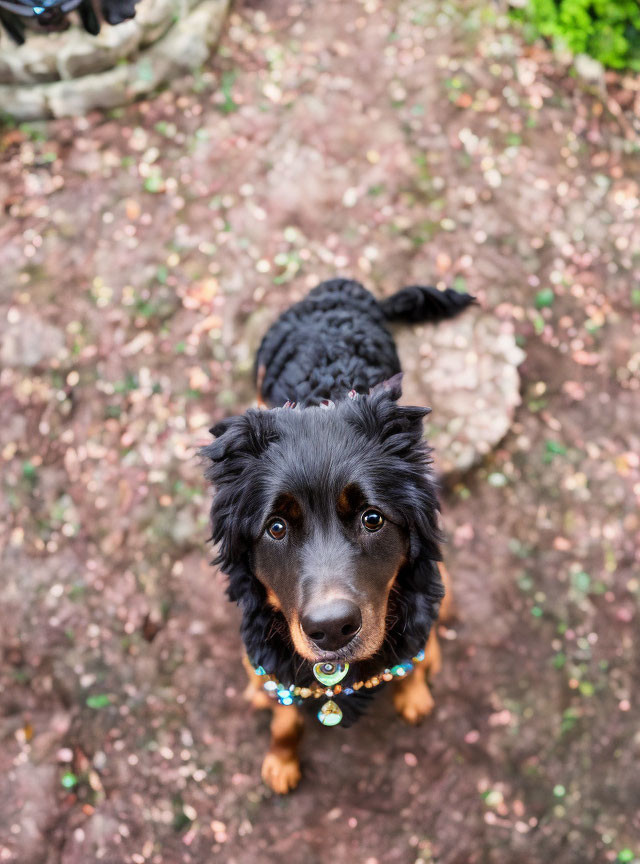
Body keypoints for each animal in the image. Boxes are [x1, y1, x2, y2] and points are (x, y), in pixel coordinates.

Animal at [202, 280, 472, 792]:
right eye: (276, 528)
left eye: (372, 518)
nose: (331, 630)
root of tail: (342, 288)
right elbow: (284, 716)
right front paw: (282, 760)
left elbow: (414, 653)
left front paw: (415, 690)